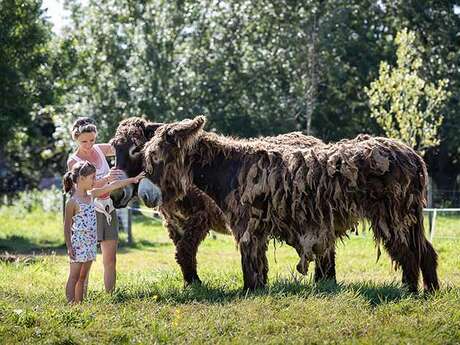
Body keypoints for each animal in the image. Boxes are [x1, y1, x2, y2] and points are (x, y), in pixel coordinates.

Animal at [142, 115, 440, 290]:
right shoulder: (257, 231)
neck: (230, 168)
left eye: (156, 157)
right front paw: (259, 290)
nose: (144, 194)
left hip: (393, 216)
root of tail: (412, 154)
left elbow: (249, 265)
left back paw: (410, 291)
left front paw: (248, 293)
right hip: (407, 217)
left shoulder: (248, 228)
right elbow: (258, 265)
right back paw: (430, 291)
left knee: (409, 255)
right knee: (425, 252)